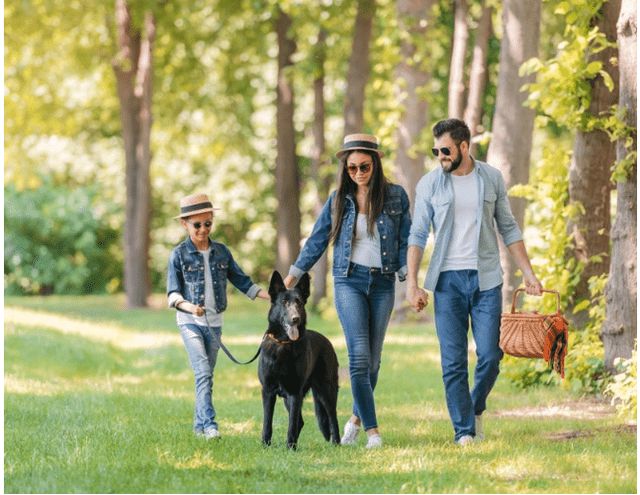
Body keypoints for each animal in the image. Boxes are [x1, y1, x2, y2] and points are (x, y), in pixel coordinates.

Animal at [258, 272, 342, 450]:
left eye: (299, 303)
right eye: (284, 302)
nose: (295, 319)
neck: (283, 344)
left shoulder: (294, 392)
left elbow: (291, 424)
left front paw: (290, 448)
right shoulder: (268, 391)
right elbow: (267, 423)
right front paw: (266, 446)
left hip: (326, 391)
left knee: (332, 417)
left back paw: (336, 443)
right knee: (301, 421)